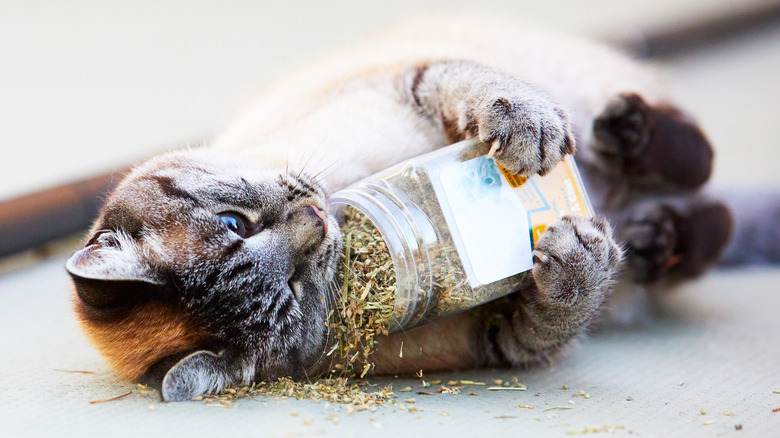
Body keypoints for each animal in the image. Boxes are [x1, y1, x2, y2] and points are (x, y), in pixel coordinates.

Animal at [65, 19, 732, 400]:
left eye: (237, 225)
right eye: (291, 295)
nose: (318, 221)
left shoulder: (409, 84)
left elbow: (486, 94)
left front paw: (526, 131)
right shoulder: (499, 338)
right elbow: (554, 311)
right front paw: (573, 258)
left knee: (694, 156)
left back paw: (628, 135)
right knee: (707, 219)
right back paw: (652, 232)